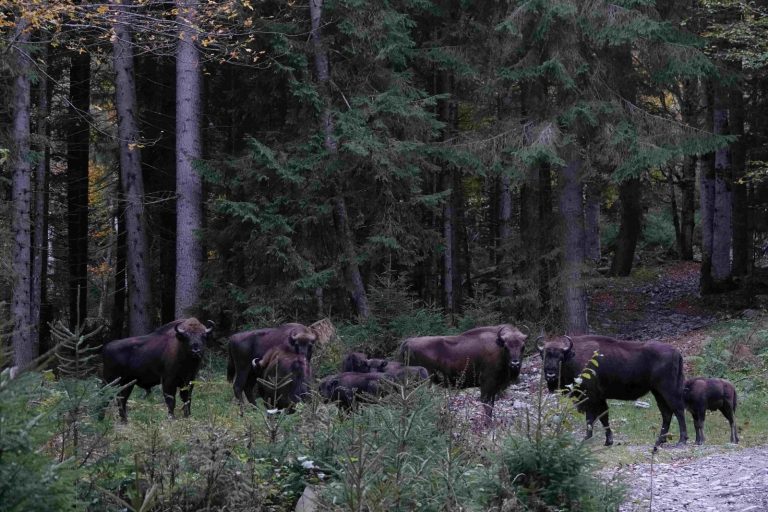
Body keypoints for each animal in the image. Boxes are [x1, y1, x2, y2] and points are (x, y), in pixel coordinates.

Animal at [399, 324, 528, 421]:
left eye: (523, 347)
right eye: (506, 347)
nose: (515, 364)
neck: (498, 348)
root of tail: (407, 342)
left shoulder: (494, 387)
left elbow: (491, 404)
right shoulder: (487, 383)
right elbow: (486, 404)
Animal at [539, 335, 688, 447]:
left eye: (560, 358)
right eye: (544, 356)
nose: (550, 374)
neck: (573, 357)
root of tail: (676, 352)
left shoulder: (590, 397)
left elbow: (591, 418)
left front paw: (586, 439)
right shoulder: (599, 398)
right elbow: (604, 417)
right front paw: (608, 441)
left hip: (668, 390)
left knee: (678, 410)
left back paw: (681, 441)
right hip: (657, 392)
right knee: (666, 413)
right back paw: (660, 440)